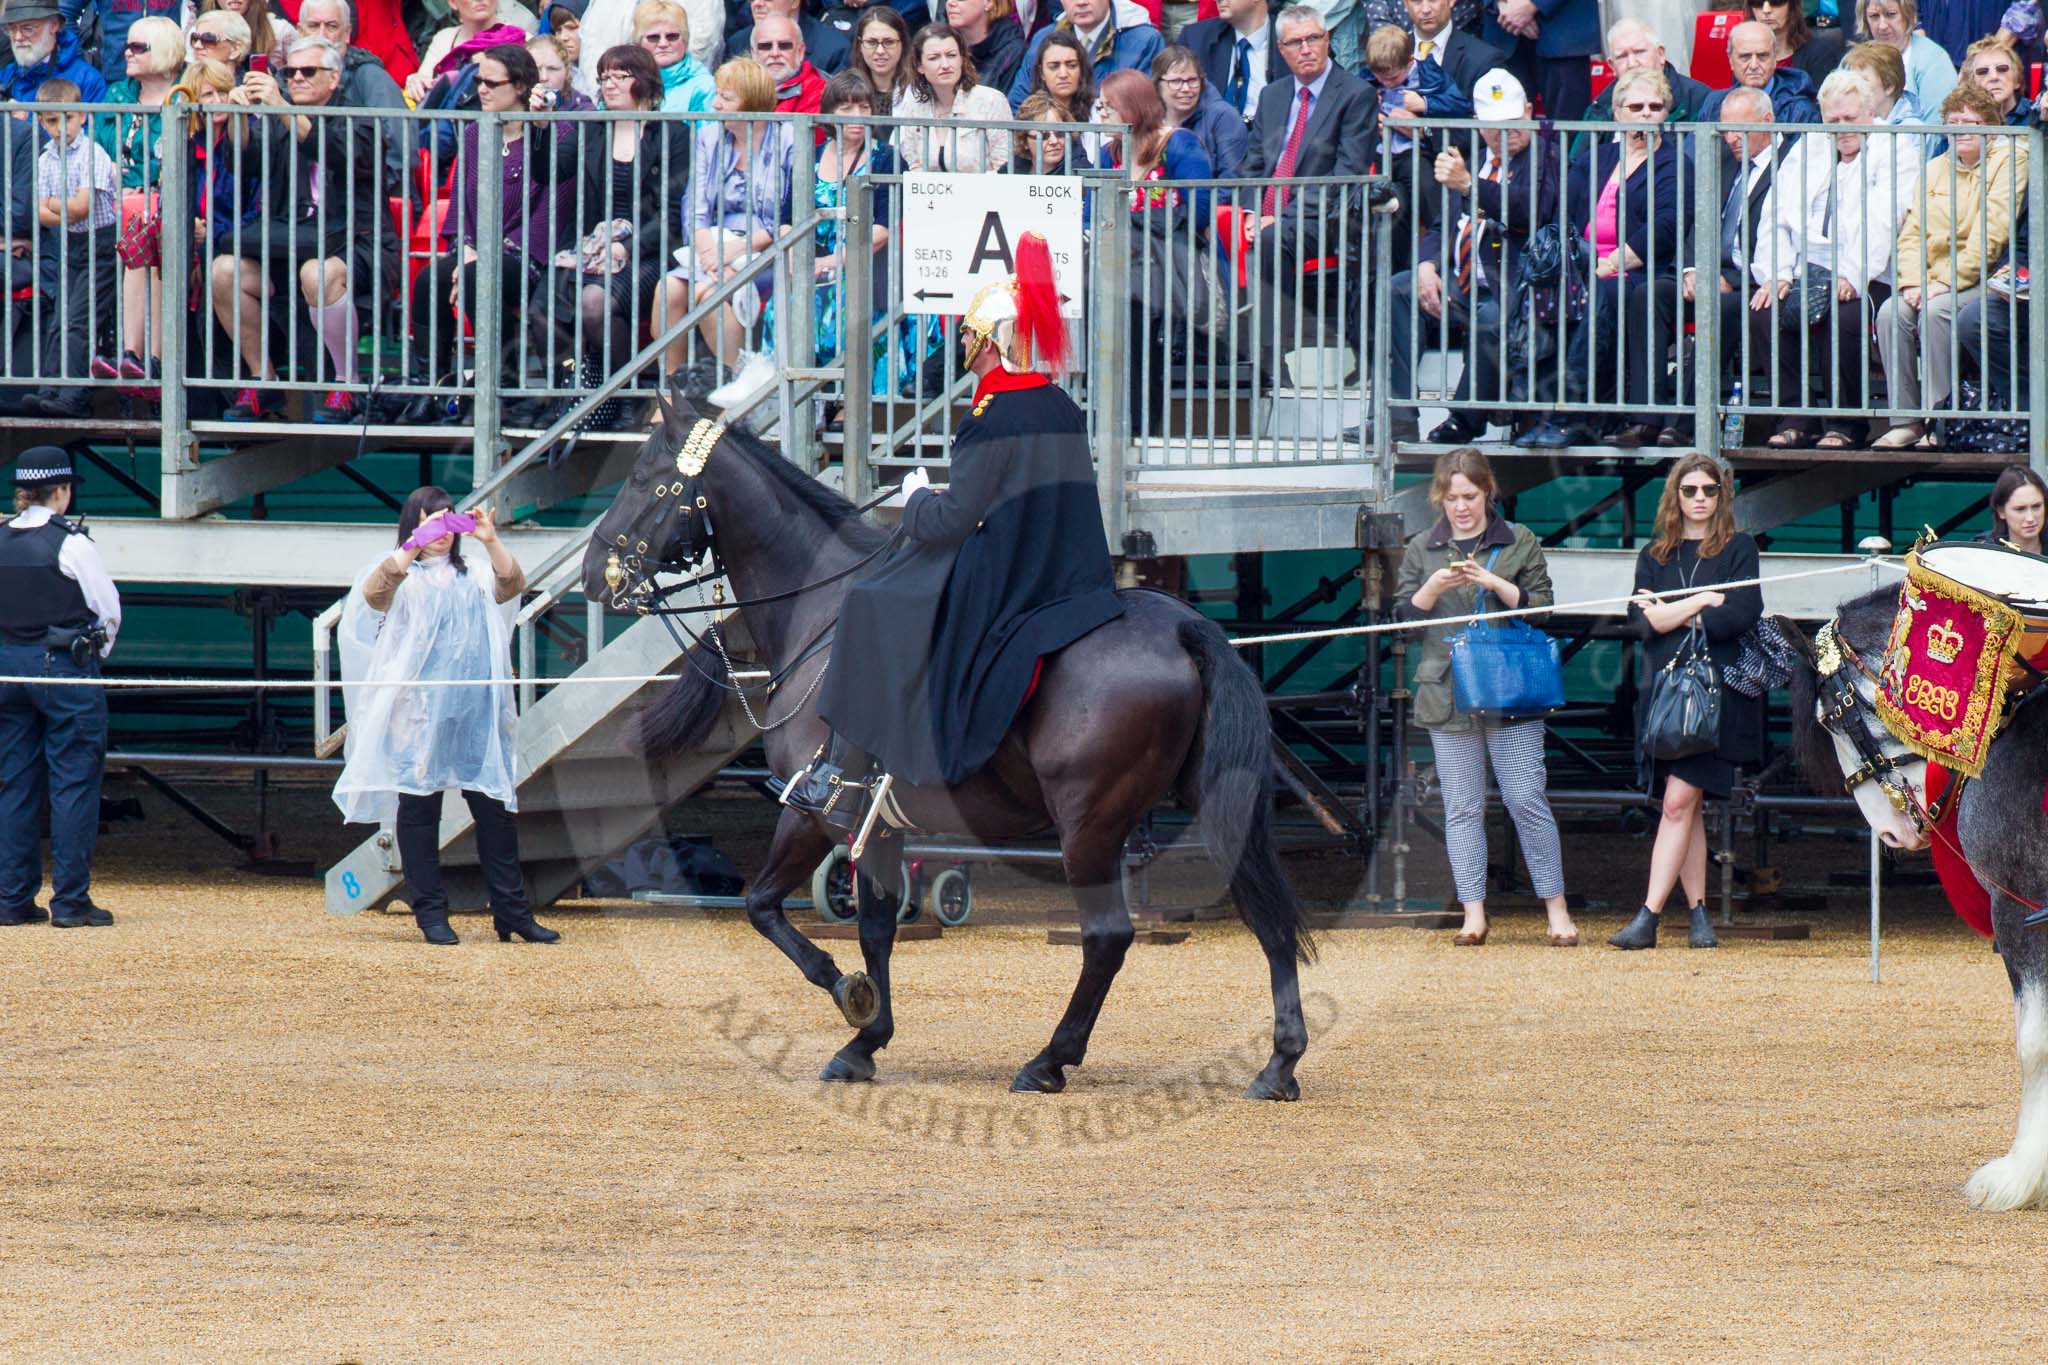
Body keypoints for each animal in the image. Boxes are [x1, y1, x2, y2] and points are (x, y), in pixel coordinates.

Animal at [582, 397, 1316, 1100]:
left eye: (644, 478)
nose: (593, 572)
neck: (821, 613)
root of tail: (1183, 626)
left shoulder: (814, 812)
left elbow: (763, 907)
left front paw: (850, 996)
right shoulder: (881, 825)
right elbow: (875, 927)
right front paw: (866, 1041)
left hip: (1088, 825)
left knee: (1108, 936)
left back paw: (1048, 1061)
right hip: (1205, 805)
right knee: (1264, 913)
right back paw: (1279, 1064)